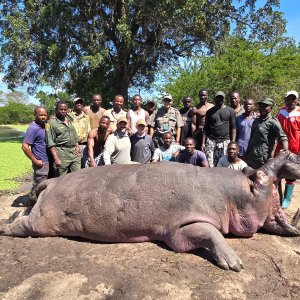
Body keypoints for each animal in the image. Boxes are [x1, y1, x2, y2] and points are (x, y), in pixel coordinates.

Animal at [0, 152, 300, 272]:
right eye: (259, 175)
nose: (290, 154)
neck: (232, 195)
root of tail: (52, 181)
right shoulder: (179, 229)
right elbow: (211, 233)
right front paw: (236, 264)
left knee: (23, 215)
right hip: (43, 221)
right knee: (24, 225)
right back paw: (4, 228)